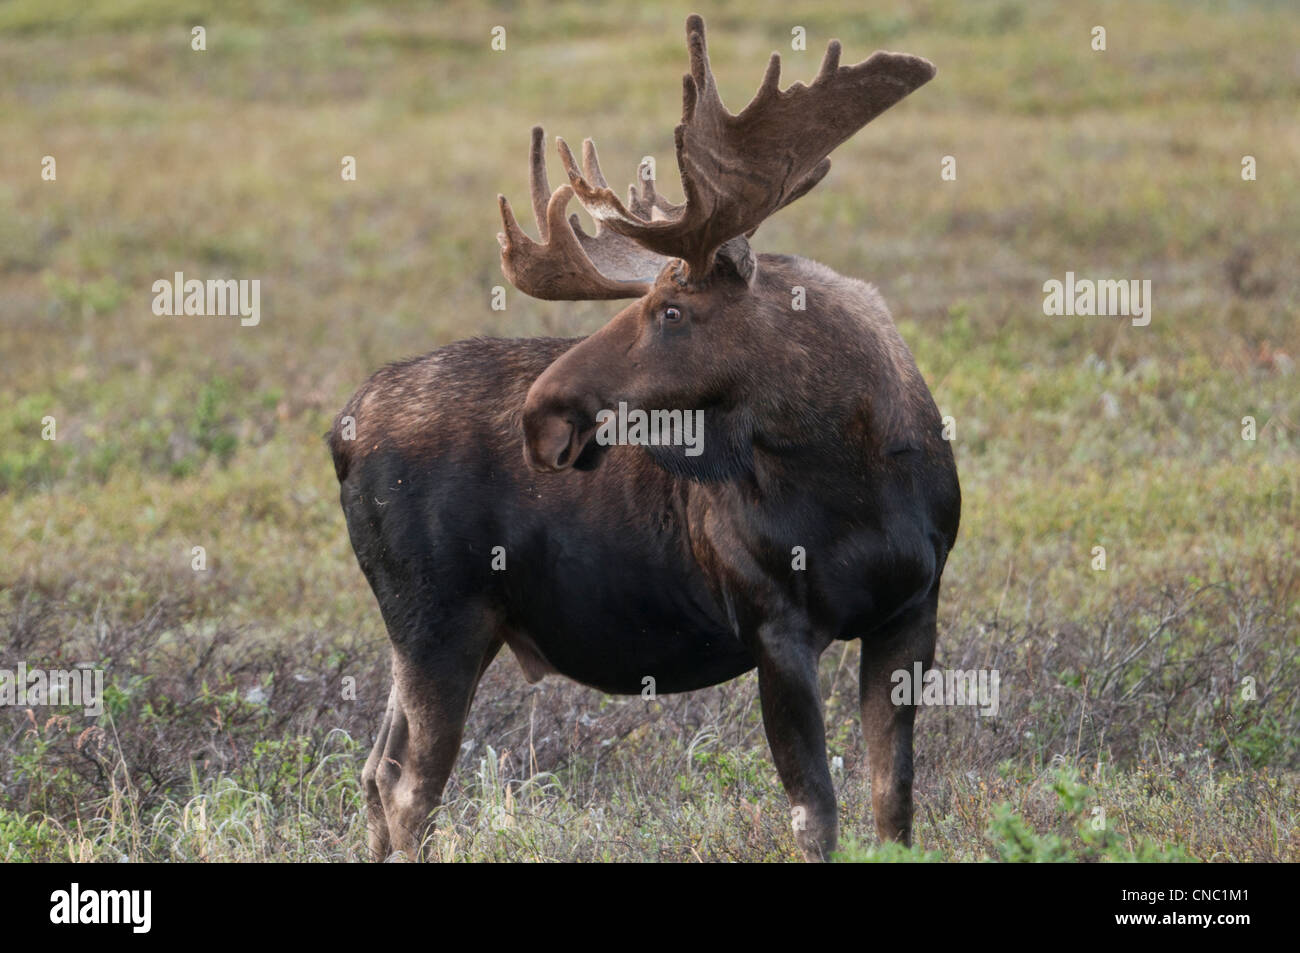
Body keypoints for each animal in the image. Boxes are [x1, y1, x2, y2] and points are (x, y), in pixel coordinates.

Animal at [330, 14, 961, 863]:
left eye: (670, 310)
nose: (542, 414)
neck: (858, 479)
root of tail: (341, 433)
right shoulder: (774, 621)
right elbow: (817, 811)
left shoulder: (912, 609)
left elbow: (893, 803)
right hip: (437, 622)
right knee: (407, 787)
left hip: (437, 634)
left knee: (374, 772)